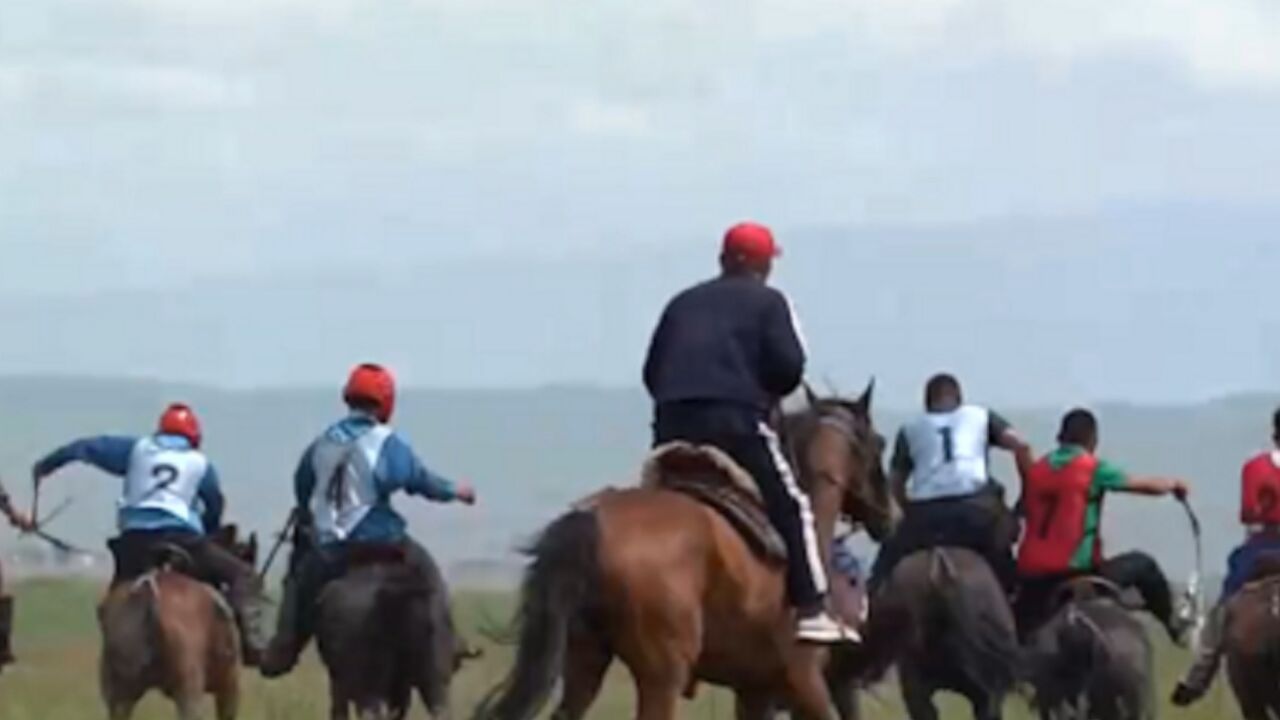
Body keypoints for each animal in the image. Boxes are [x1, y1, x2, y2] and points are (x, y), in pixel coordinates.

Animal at [471, 384, 890, 717]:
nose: (890, 515)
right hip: (662, 674)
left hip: (584, 660)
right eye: (881, 443)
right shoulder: (803, 682)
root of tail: (594, 519)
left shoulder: (753, 689)